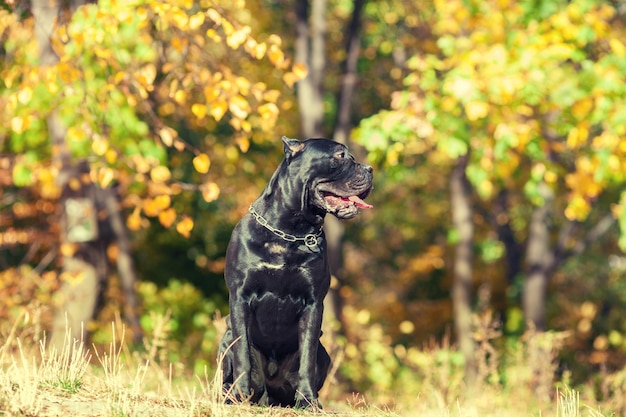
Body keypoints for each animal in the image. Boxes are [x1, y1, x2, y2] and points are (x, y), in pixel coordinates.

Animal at [217, 136, 370, 406]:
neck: (291, 231)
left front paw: (308, 401)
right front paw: (240, 396)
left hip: (324, 355)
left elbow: (307, 358)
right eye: (341, 156)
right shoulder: (240, 297)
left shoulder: (313, 303)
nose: (370, 169)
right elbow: (242, 352)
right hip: (224, 341)